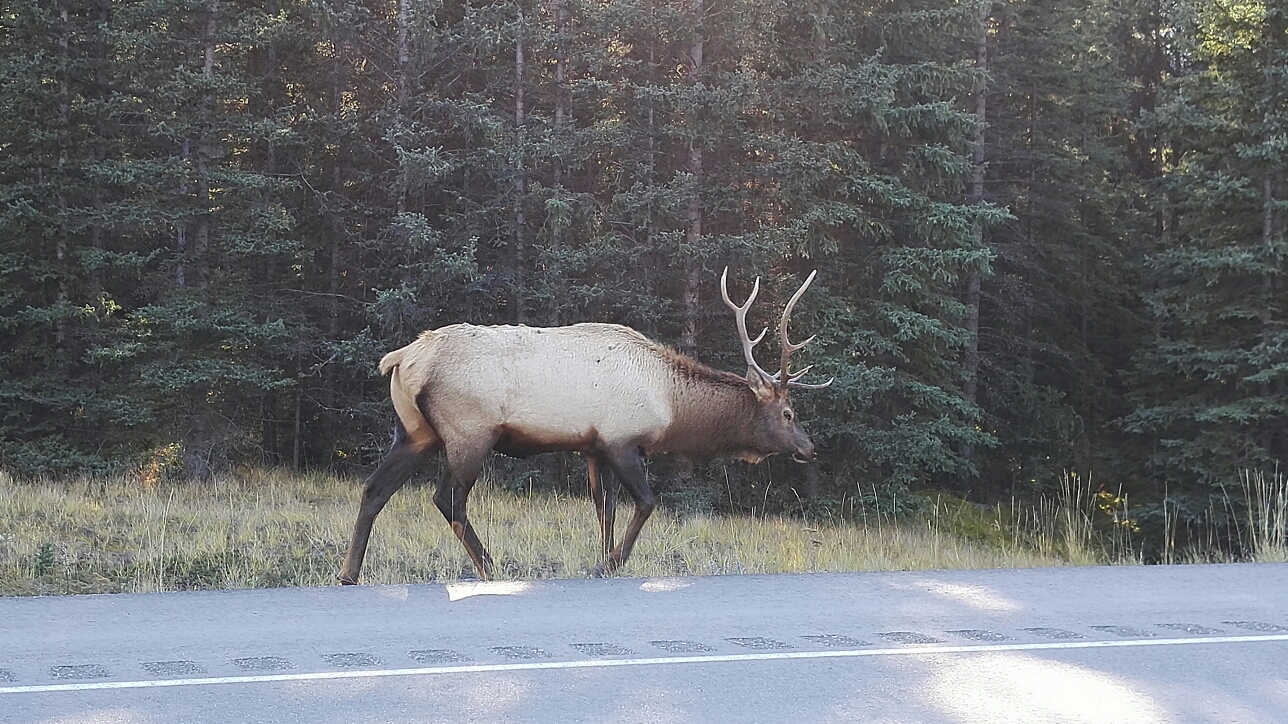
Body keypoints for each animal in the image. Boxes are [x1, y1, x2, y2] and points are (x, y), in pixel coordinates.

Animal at [337, 265, 829, 579]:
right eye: (788, 413)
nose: (808, 448)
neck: (670, 405)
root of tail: (402, 359)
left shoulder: (591, 447)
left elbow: (603, 509)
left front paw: (603, 557)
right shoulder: (621, 439)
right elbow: (645, 503)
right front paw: (609, 563)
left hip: (413, 432)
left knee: (374, 489)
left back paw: (349, 573)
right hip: (467, 431)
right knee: (448, 499)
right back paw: (491, 566)